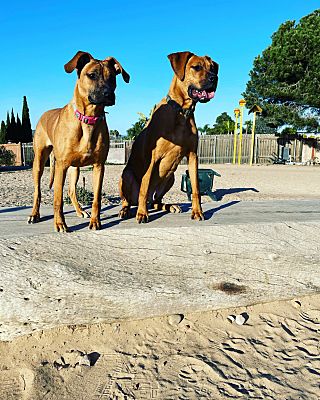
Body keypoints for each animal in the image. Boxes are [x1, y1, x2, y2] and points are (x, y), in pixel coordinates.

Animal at [27, 50, 130, 231]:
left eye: (112, 77)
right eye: (92, 75)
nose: (108, 94)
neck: (89, 119)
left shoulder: (99, 166)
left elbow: (96, 198)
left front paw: (95, 221)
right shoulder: (61, 166)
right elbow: (58, 200)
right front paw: (60, 223)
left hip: (75, 168)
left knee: (71, 191)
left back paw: (80, 211)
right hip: (39, 162)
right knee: (37, 191)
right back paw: (34, 214)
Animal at [119, 50, 219, 223]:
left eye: (212, 68)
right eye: (196, 67)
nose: (215, 78)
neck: (181, 112)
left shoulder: (193, 156)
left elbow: (196, 189)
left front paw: (197, 212)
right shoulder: (152, 158)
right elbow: (144, 186)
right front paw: (142, 214)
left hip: (171, 177)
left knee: (155, 201)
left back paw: (169, 206)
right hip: (126, 175)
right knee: (131, 199)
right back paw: (127, 210)